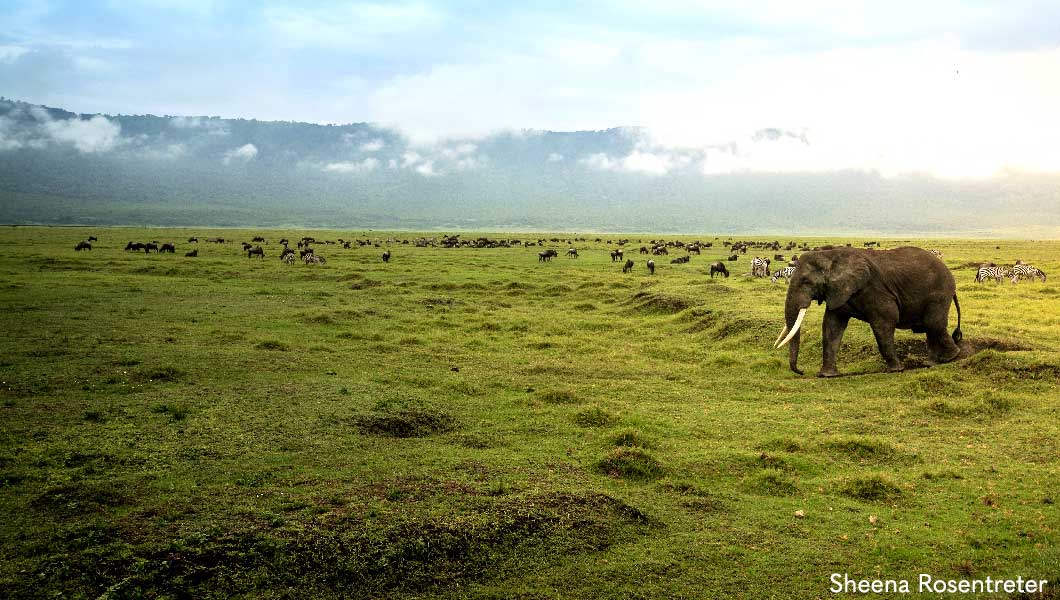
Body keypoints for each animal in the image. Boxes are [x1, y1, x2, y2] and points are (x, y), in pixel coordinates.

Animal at [775, 248, 966, 379]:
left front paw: (895, 370)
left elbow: (884, 323)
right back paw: (932, 363)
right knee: (931, 327)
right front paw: (827, 375)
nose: (801, 371)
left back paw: (951, 357)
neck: (830, 256)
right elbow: (832, 326)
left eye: (806, 282)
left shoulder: (875, 289)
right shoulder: (839, 291)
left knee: (934, 324)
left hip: (940, 292)